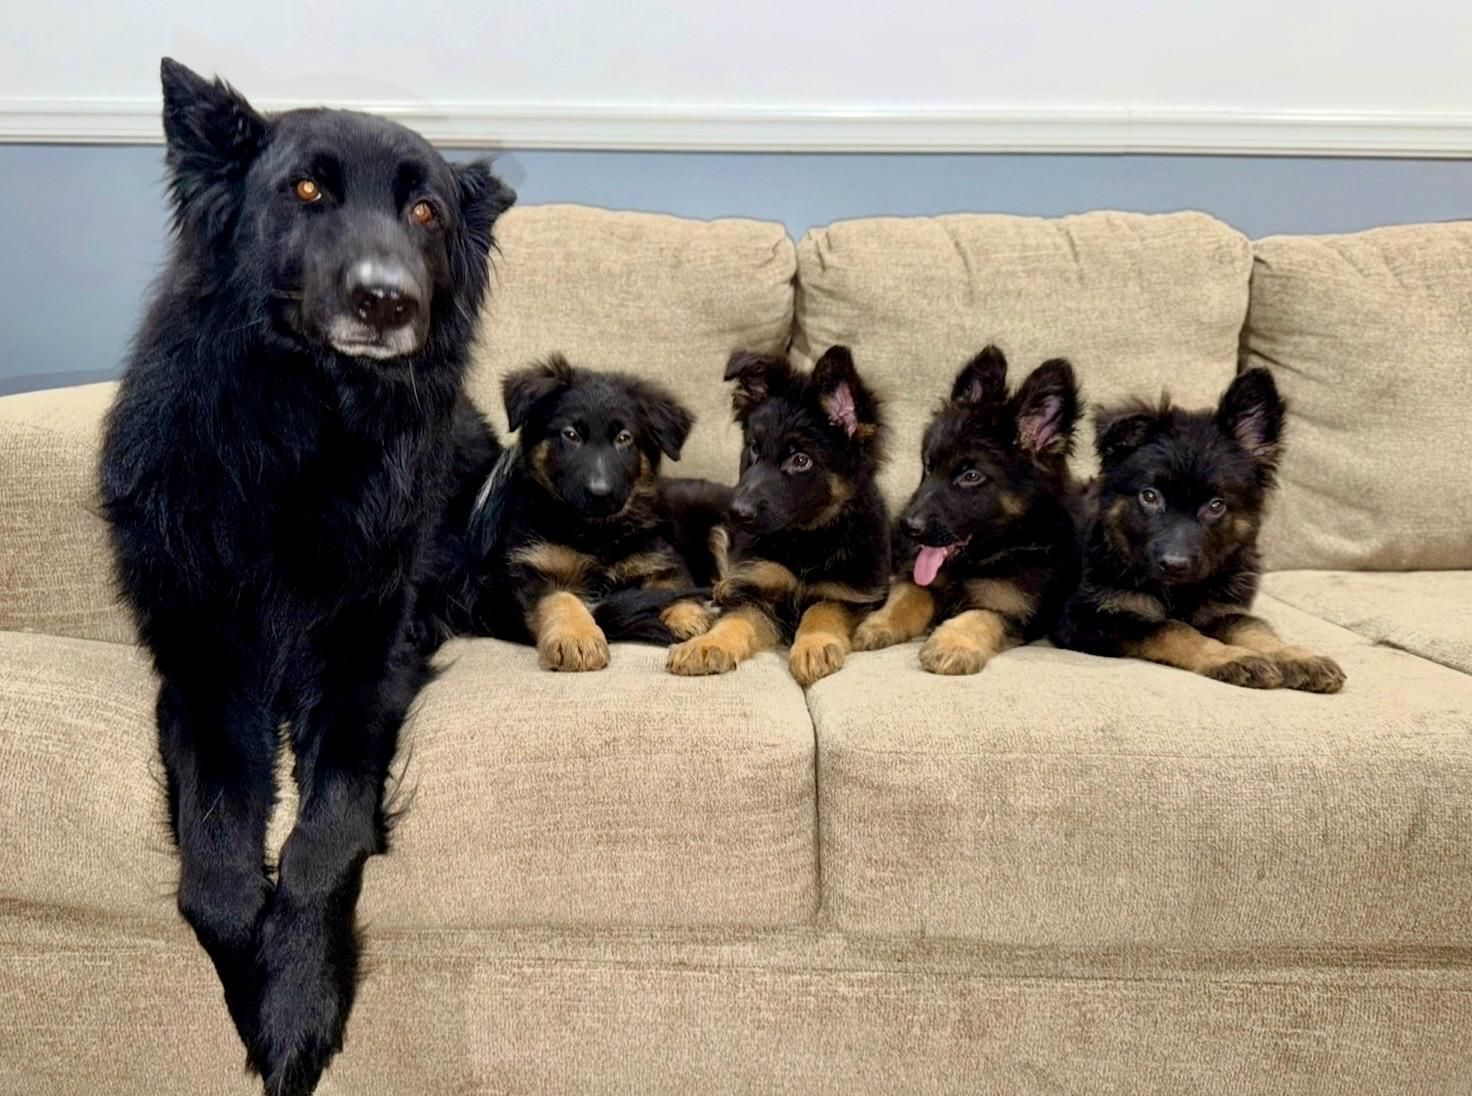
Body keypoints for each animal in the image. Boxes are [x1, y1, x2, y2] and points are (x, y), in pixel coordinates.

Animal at [99, 59, 513, 1095]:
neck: (310, 429)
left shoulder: (365, 668)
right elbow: (214, 873)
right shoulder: (205, 674)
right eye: (308, 190)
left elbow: (323, 839)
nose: (387, 301)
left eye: (425, 210)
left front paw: (297, 1004)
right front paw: (260, 989)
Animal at [452, 355, 715, 669]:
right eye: (571, 435)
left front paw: (688, 615)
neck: (595, 534)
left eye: (624, 438)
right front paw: (576, 637)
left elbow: (673, 583)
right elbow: (562, 598)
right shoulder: (530, 571)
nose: (599, 494)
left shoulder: (659, 557)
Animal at [666, 345, 890, 686]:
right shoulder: (757, 590)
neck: (806, 541)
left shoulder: (850, 595)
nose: (736, 512)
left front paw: (813, 646)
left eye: (800, 460)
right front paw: (707, 644)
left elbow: (821, 612)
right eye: (754, 449)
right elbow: (735, 620)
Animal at [854, 346, 1081, 673]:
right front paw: (878, 624)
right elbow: (906, 596)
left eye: (971, 476)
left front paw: (951, 644)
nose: (908, 528)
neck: (982, 559)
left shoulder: (1014, 611)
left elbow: (978, 617)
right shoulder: (918, 578)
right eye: (928, 466)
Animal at [1052, 367, 1345, 692]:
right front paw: (1228, 656)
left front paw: (1294, 655)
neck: (1178, 593)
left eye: (1216, 505)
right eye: (1150, 496)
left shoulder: (1221, 609)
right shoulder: (1088, 617)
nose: (1174, 565)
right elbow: (1171, 628)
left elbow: (1252, 626)